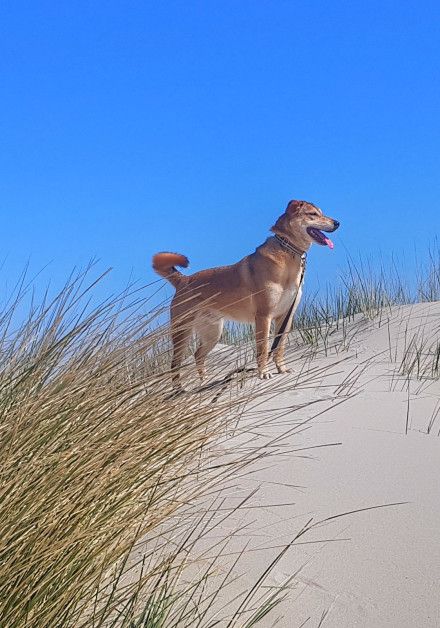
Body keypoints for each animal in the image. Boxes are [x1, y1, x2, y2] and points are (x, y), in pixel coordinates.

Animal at [152, 201, 340, 388]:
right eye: (313, 214)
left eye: (321, 212)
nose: (337, 223)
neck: (287, 252)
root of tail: (183, 280)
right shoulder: (264, 316)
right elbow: (263, 349)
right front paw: (263, 373)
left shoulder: (286, 316)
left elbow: (279, 347)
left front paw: (282, 369)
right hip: (182, 332)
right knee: (175, 364)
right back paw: (179, 390)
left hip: (213, 332)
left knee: (198, 355)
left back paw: (205, 381)